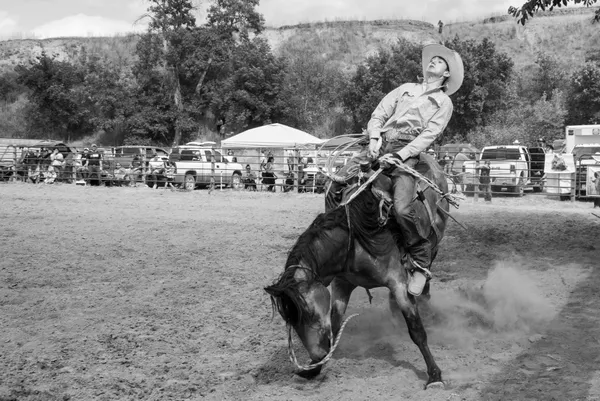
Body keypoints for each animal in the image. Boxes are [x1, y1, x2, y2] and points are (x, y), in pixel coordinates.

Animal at [264, 145, 460, 390]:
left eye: (307, 312)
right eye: (289, 318)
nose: (316, 356)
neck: (357, 235)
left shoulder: (398, 283)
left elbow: (417, 330)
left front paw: (434, 376)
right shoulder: (341, 284)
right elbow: (335, 323)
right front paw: (313, 370)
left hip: (434, 243)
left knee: (424, 270)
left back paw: (422, 293)